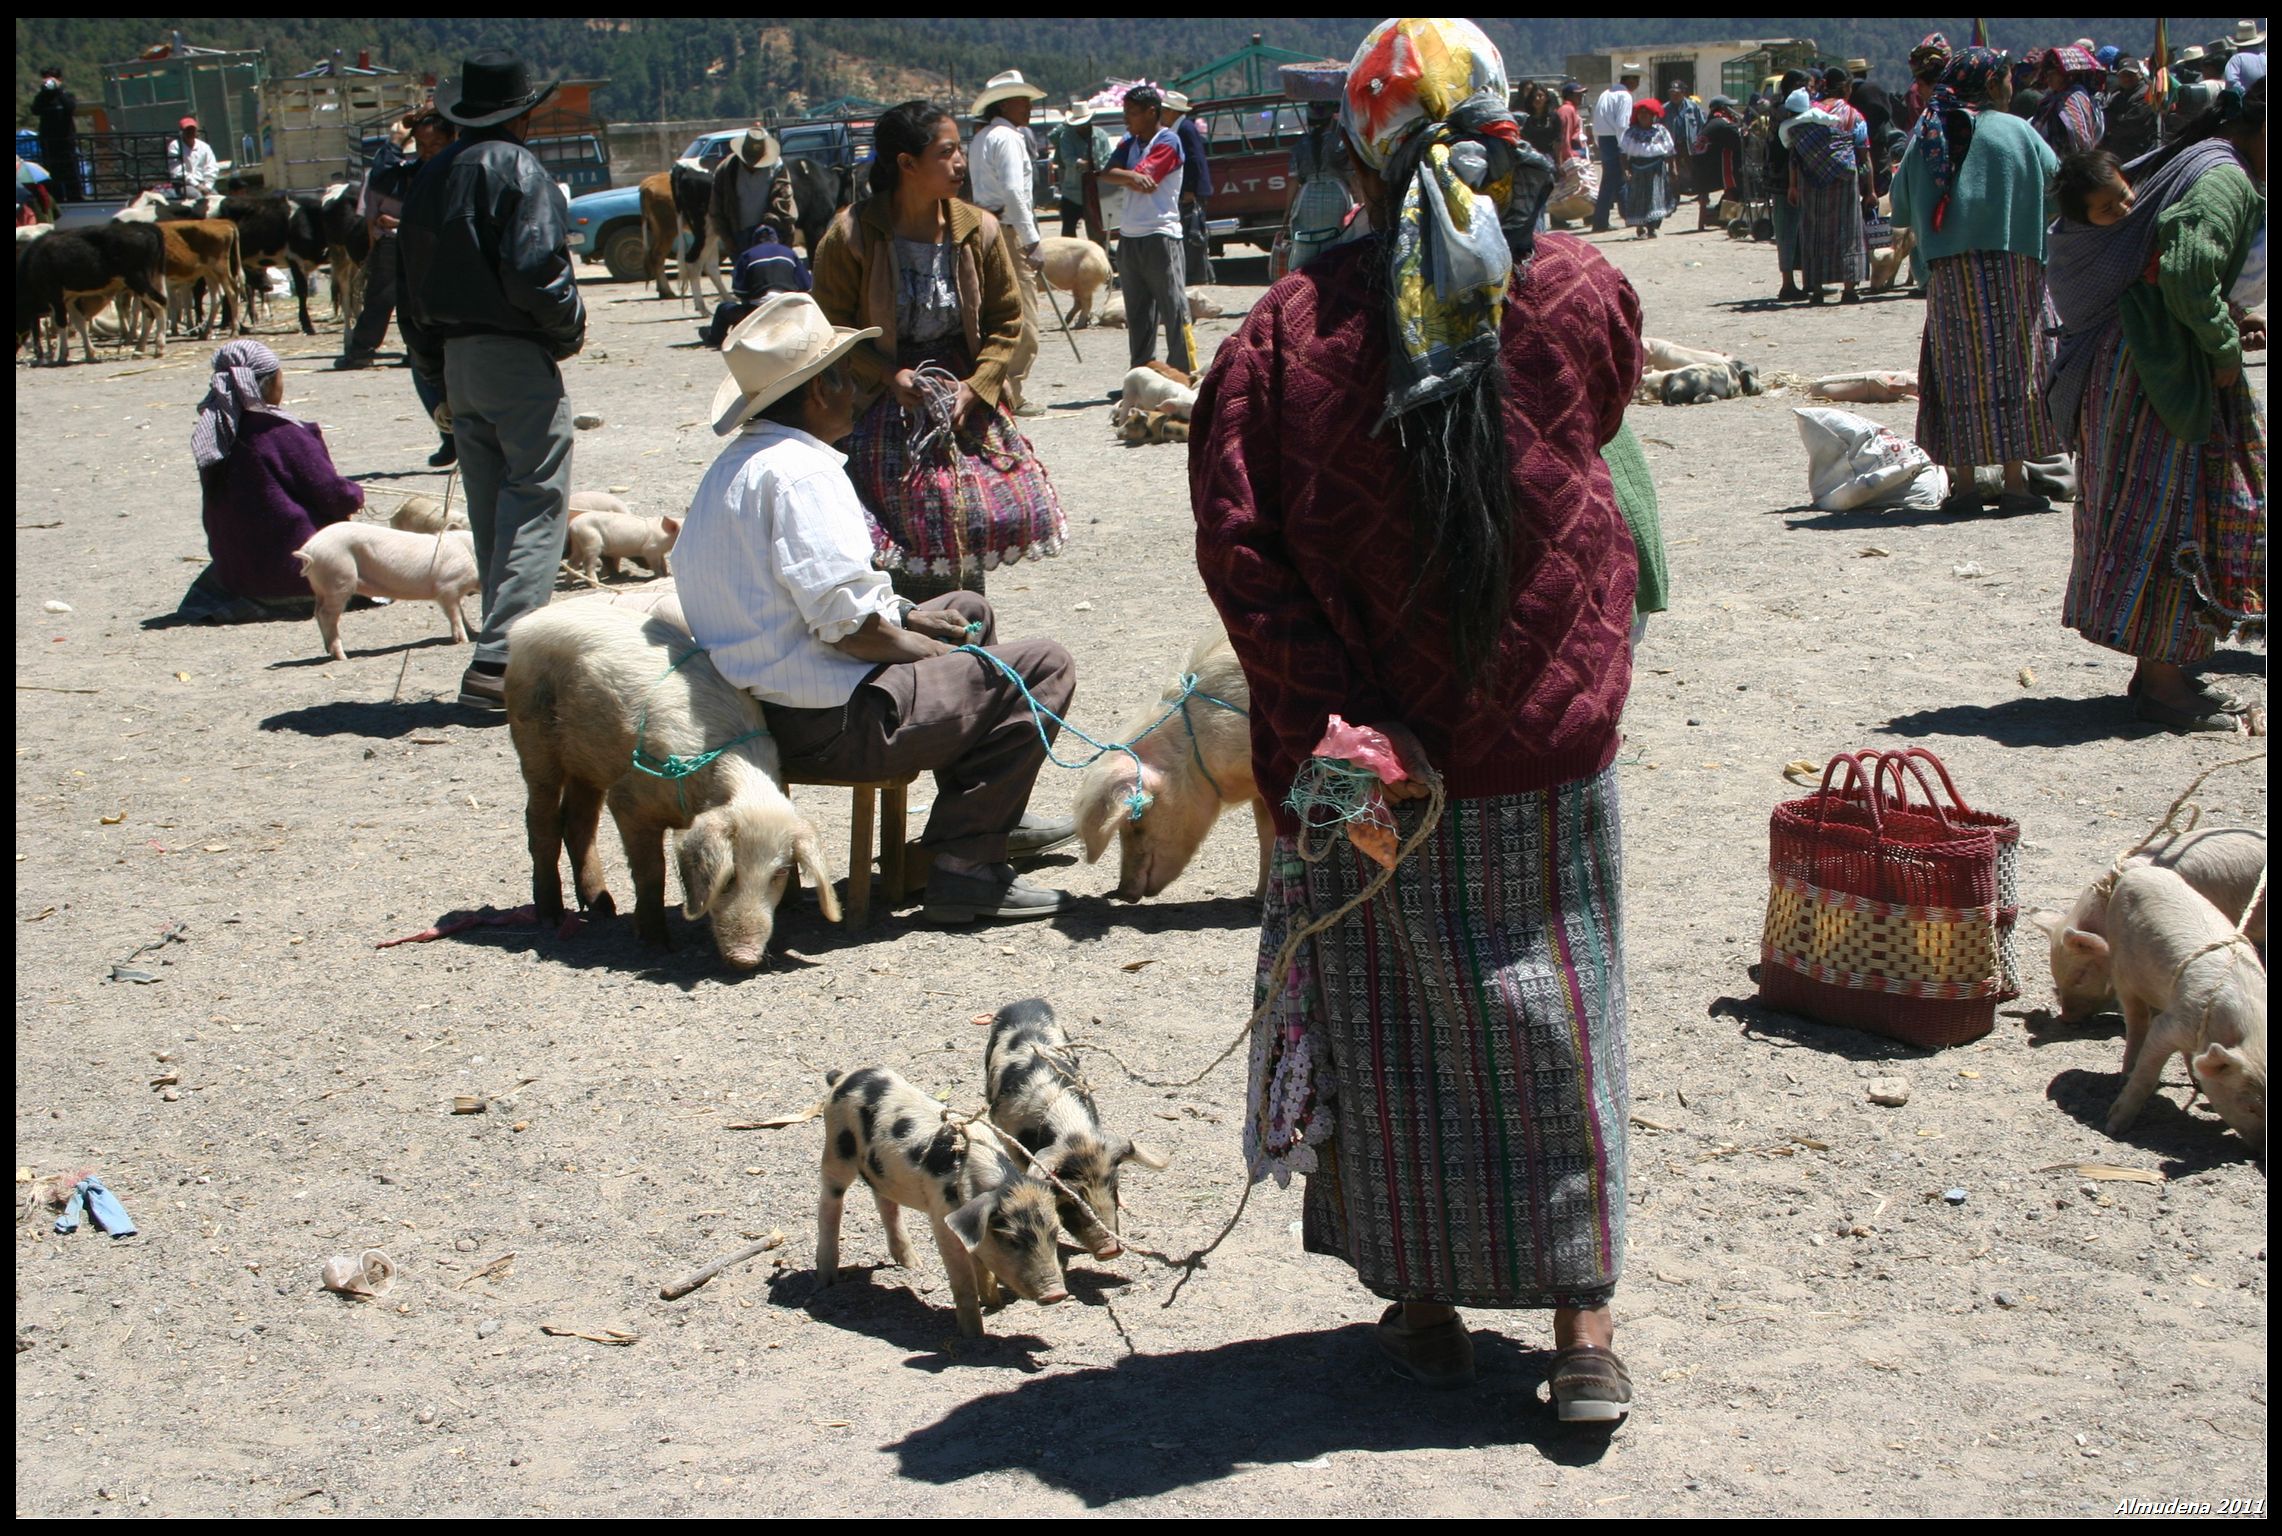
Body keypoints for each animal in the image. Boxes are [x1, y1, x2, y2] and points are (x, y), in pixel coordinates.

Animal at [294, 520, 476, 657]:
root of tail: (309, 548)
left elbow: (460, 613)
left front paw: (472, 632)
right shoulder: (447, 587)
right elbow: (454, 614)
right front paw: (464, 640)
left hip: (322, 587)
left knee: (318, 612)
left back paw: (329, 651)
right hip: (339, 579)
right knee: (327, 614)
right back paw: (342, 656)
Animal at [816, 1068, 1072, 1332]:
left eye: (1054, 1234)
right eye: (1012, 1240)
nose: (1056, 1293)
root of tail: (844, 1078)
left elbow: (982, 1263)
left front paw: (994, 1304)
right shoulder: (941, 1217)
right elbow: (963, 1279)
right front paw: (974, 1335)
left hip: (881, 1171)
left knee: (885, 1201)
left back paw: (912, 1265)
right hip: (837, 1147)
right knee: (829, 1202)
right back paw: (827, 1280)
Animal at [2090, 862, 2263, 1150]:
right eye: (2250, 1106)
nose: (2261, 1154)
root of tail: (2136, 870)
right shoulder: (2176, 1022)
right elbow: (2147, 1073)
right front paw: (2113, 1127)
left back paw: (2195, 1081)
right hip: (2121, 969)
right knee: (2136, 1021)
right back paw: (2125, 1075)